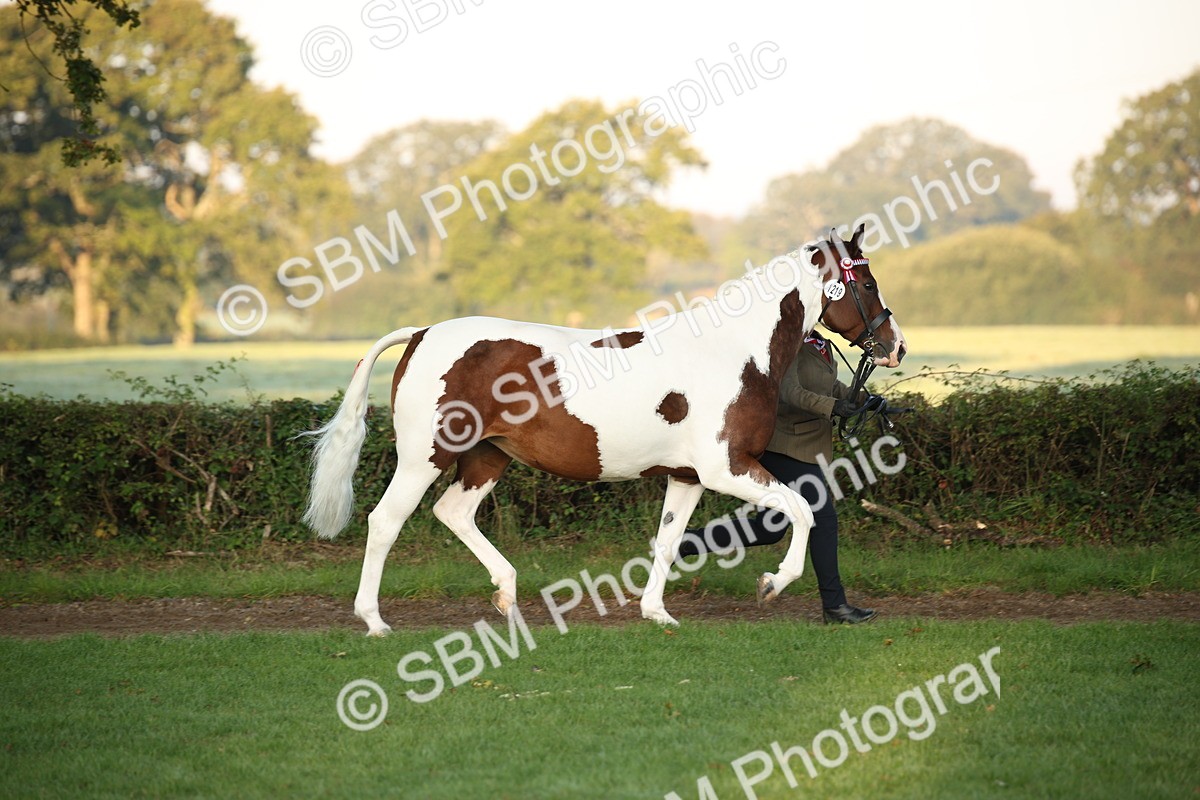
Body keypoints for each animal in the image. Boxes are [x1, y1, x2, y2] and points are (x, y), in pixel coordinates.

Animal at [303, 224, 906, 635]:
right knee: (385, 522)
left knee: (453, 513)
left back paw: (507, 595)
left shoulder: (688, 476)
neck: (733, 352)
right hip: (424, 456)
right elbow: (803, 510)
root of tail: (422, 332)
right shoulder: (727, 468)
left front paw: (657, 613)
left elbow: (668, 539)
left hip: (487, 456)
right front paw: (771, 584)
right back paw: (374, 620)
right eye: (867, 280)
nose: (895, 346)